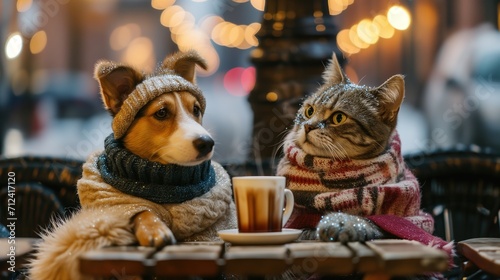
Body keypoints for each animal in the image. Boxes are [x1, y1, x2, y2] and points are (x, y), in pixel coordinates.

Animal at [30, 50, 237, 280]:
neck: (161, 182)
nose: (207, 143)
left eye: (196, 109)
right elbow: (139, 210)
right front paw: (155, 229)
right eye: (162, 112)